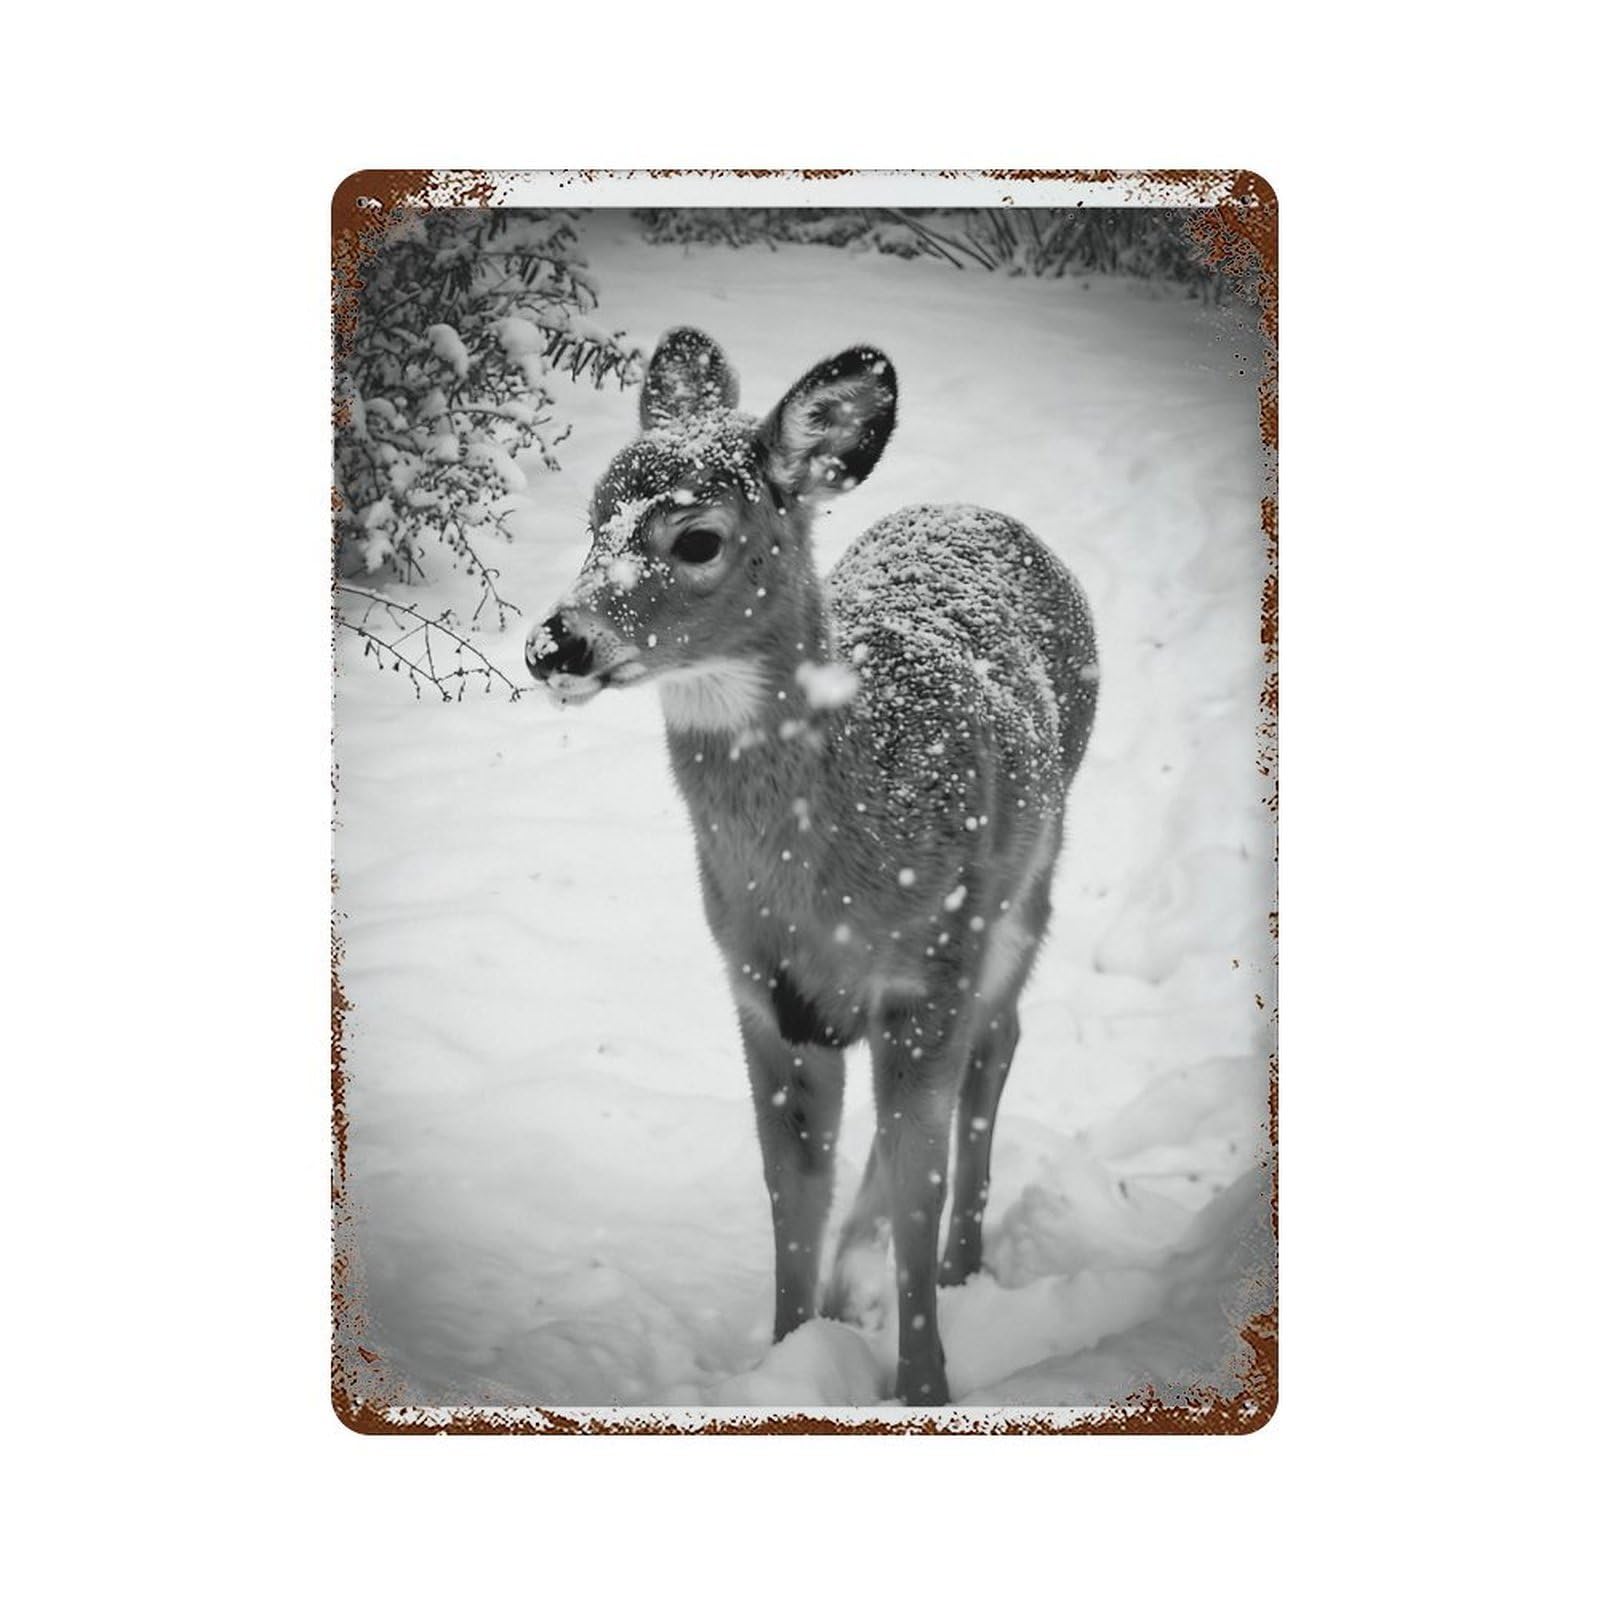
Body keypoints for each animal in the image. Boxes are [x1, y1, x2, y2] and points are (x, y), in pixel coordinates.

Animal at [526, 328, 1097, 1404]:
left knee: (995, 1049)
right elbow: (791, 1187)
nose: (555, 642)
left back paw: (963, 1269)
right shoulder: (765, 993)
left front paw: (924, 1386)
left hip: (1023, 891)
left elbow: (916, 1184)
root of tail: (978, 510)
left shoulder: (927, 972)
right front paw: (793, 1353)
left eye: (696, 538)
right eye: (593, 516)